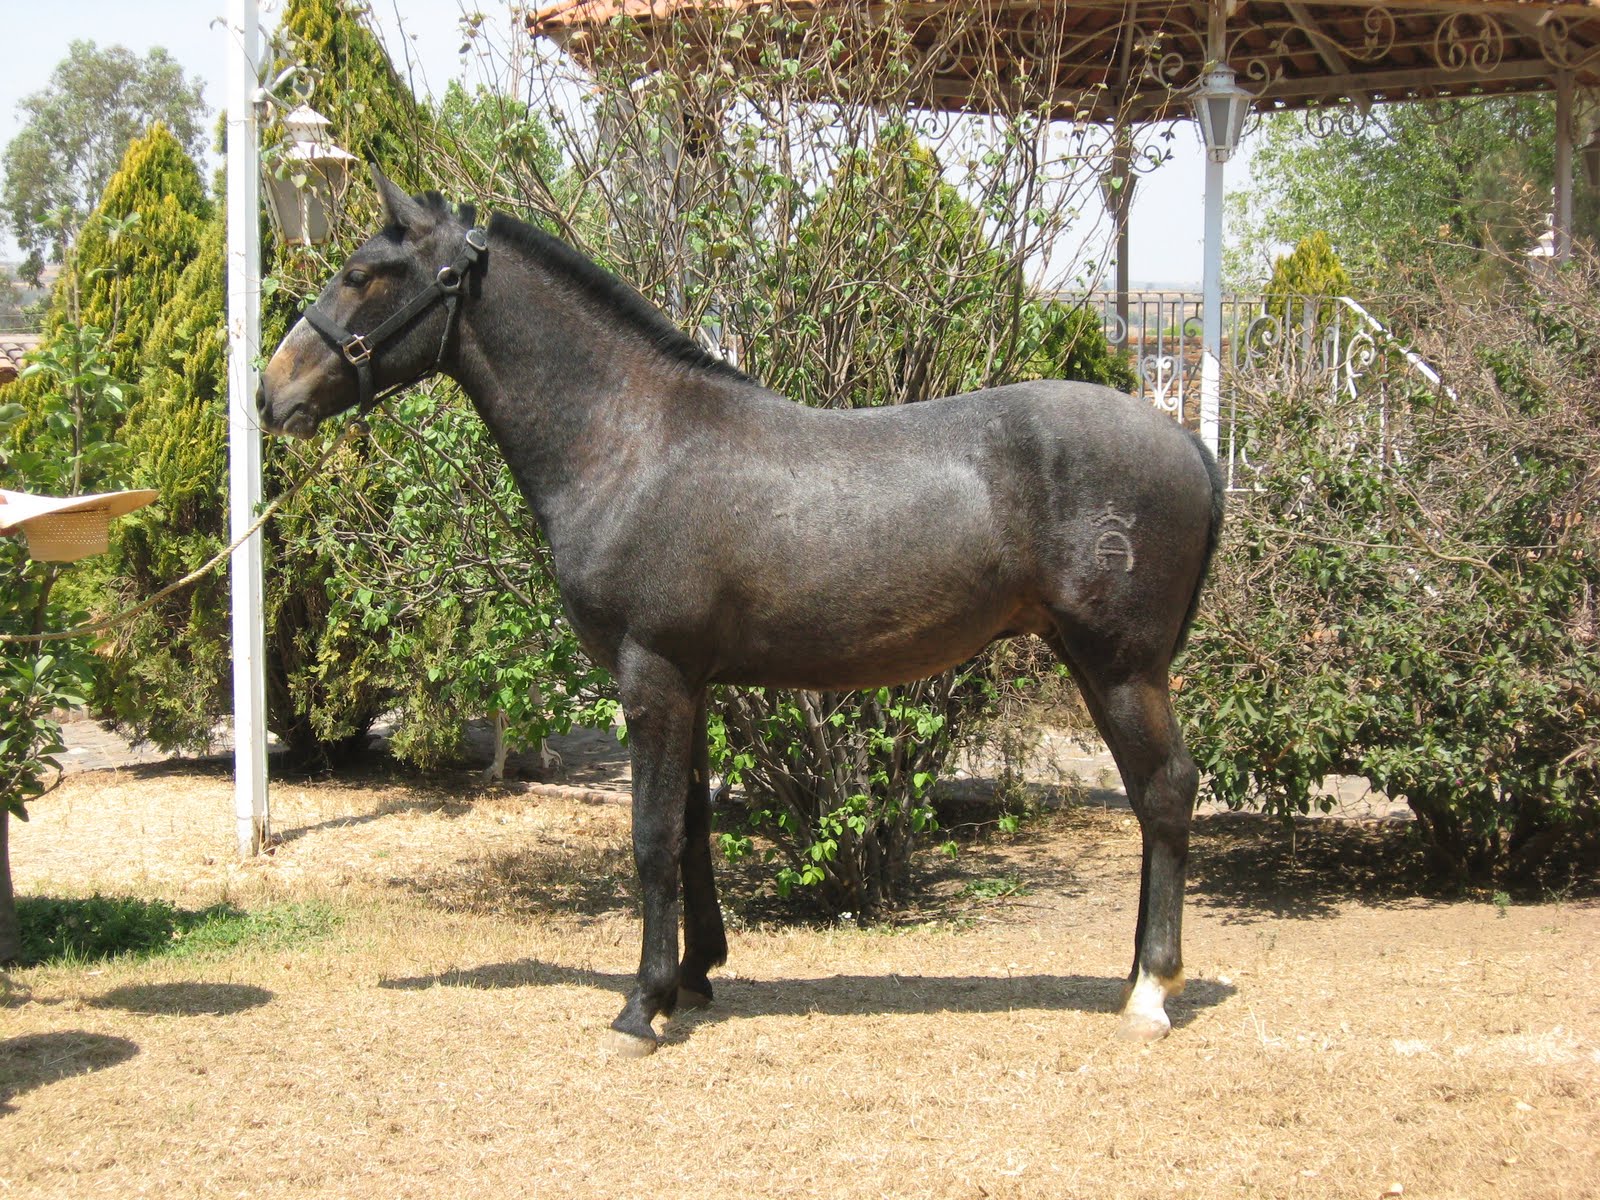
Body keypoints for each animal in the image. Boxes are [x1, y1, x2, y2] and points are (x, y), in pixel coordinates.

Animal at [259, 169, 1225, 1056]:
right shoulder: (688, 682)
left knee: (1167, 791)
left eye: (362, 272)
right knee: (1150, 798)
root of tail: (1187, 443)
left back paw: (1152, 990)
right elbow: (690, 829)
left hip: (1119, 666)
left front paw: (640, 1007)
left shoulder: (651, 675)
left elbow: (651, 837)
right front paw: (692, 976)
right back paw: (1135, 977)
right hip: (1098, 664)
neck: (629, 440)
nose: (273, 393)